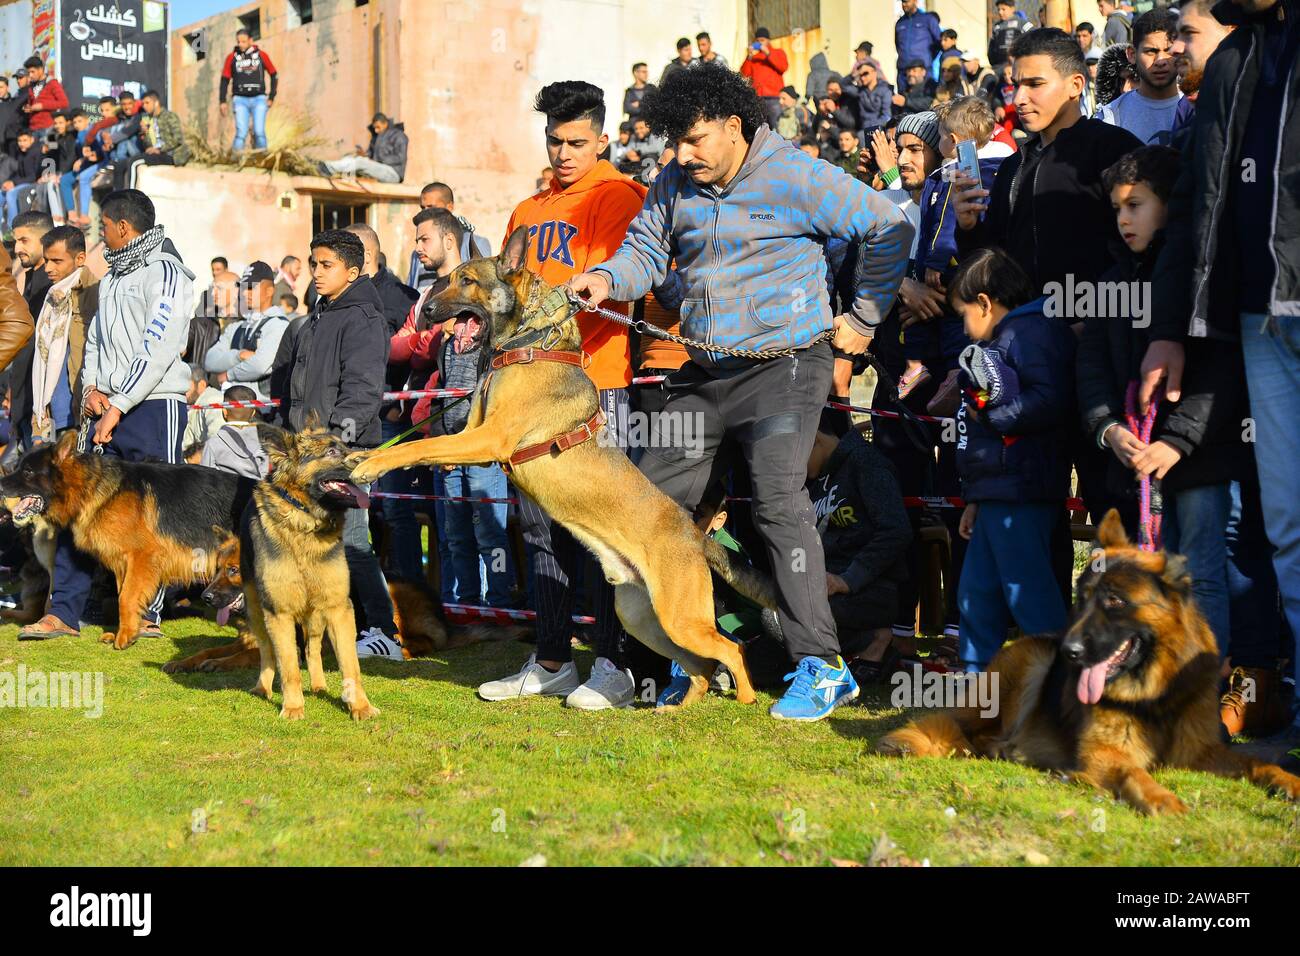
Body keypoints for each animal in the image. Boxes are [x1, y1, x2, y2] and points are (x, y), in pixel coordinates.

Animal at [0, 434, 256, 650]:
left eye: (28, 471)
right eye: (18, 467)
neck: (93, 487)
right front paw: (127, 631)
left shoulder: (141, 558)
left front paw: (124, 637)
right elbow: (125, 595)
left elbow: (125, 598)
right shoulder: (123, 563)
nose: (1, 485)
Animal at [163, 530, 522, 671]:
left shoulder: (292, 647)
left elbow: (242, 657)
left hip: (394, 601)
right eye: (216, 570)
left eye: (234, 570)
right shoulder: (249, 637)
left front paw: (218, 664)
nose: (206, 596)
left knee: (423, 642)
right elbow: (209, 649)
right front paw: (185, 662)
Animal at [873, 512, 1300, 816]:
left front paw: (1288, 781)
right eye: (1083, 598)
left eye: (1114, 601)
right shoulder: (1105, 755)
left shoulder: (1200, 752)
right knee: (961, 730)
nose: (1069, 651)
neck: (1153, 696)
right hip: (1028, 665)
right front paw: (1161, 798)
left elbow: (1254, 763)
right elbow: (1133, 771)